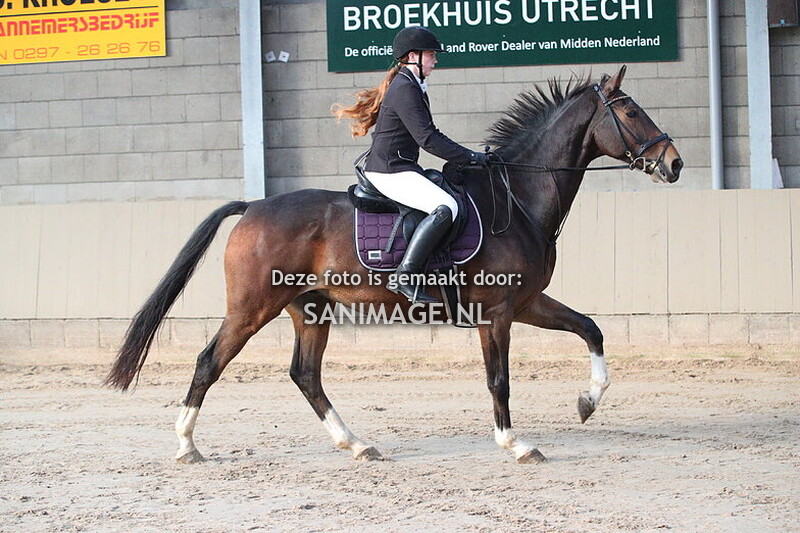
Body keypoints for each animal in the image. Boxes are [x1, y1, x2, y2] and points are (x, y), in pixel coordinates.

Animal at [106, 66, 683, 464]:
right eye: (631, 112)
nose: (674, 164)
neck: (517, 197)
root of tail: (253, 207)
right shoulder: (497, 312)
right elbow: (499, 379)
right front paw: (515, 445)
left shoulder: (526, 302)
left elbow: (590, 328)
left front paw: (587, 401)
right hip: (253, 308)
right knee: (211, 362)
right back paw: (186, 447)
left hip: (308, 309)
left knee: (306, 375)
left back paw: (357, 444)